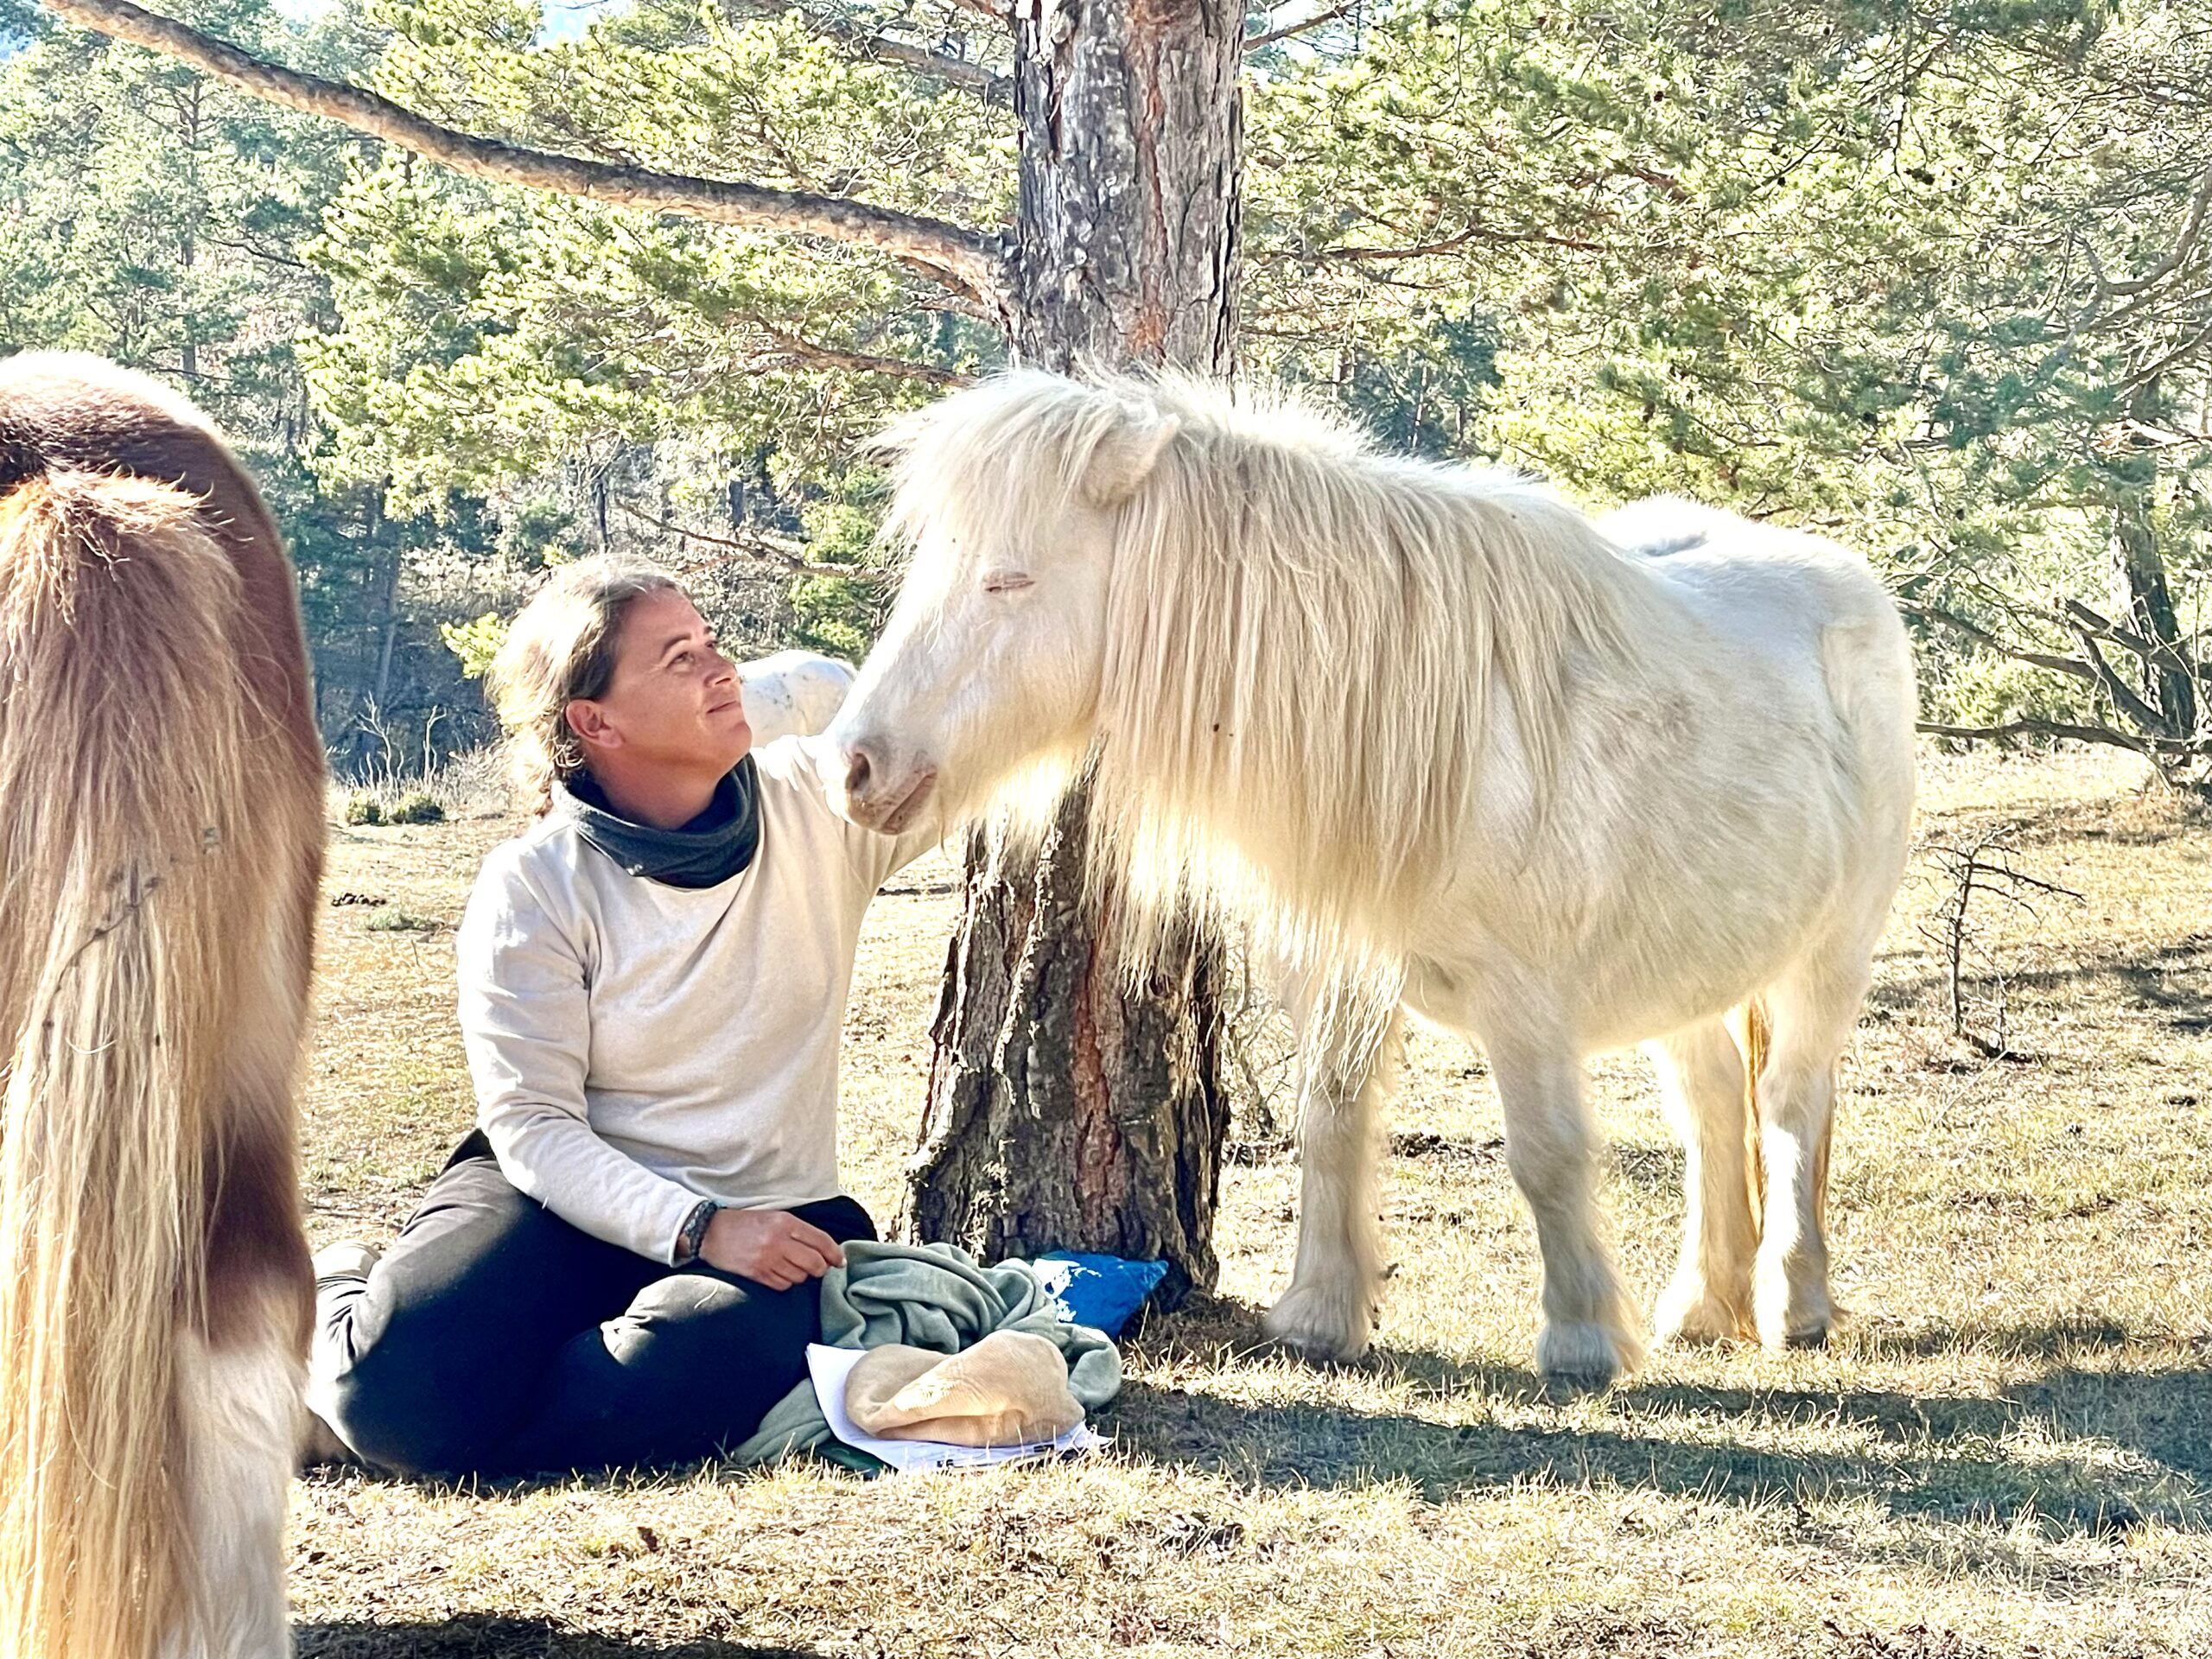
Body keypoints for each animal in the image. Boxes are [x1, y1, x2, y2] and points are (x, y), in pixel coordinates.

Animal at [831, 373, 1920, 1389]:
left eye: (1008, 581)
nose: (855, 765)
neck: (1418, 722)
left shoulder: (1523, 1002)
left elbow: (1546, 1153)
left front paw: (1576, 1341)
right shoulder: (1343, 969)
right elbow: (1329, 1122)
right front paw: (1320, 1316)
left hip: (1830, 955)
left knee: (1789, 1101)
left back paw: (1794, 1305)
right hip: (1688, 963)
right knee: (1711, 1107)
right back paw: (1700, 1306)